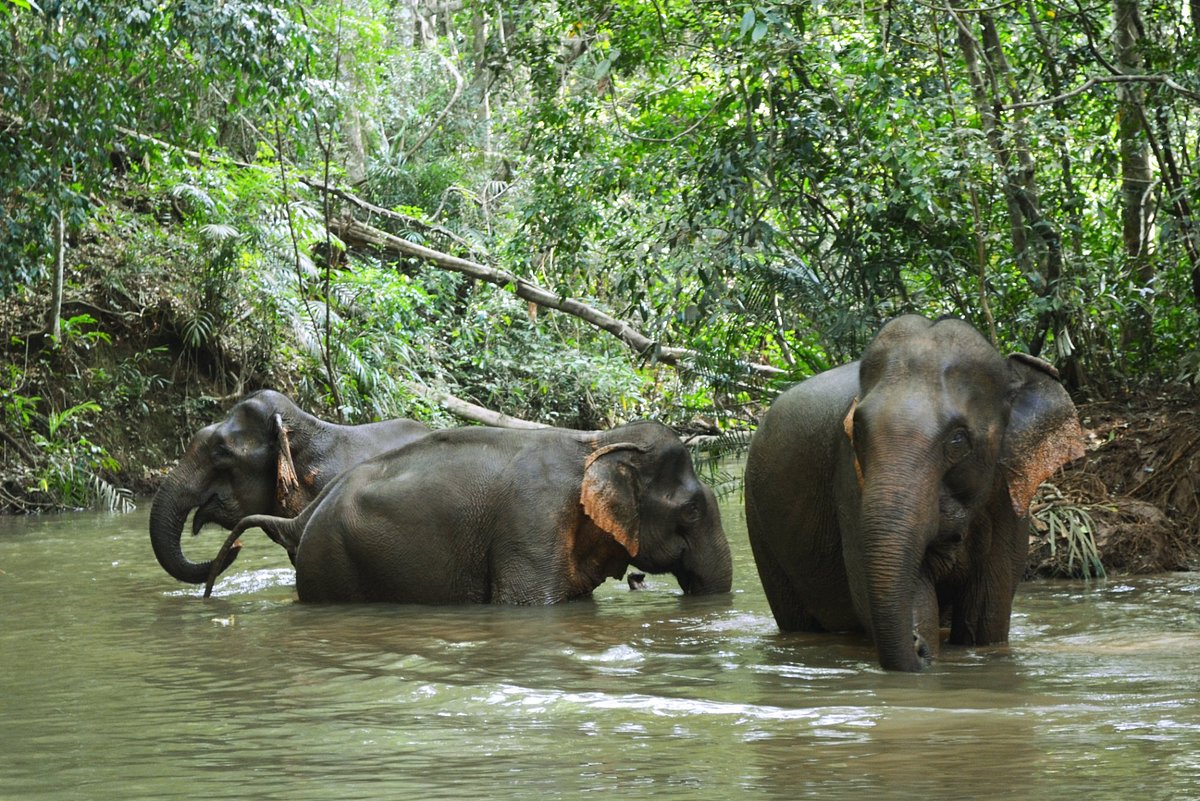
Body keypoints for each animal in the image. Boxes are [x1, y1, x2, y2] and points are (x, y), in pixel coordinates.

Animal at [744, 316, 1084, 671]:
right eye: (858, 432)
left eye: (958, 439)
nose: (917, 643)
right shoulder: (849, 479)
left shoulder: (1007, 492)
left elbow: (987, 611)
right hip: (760, 527)